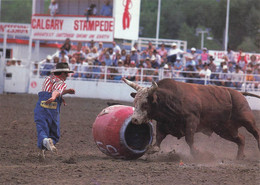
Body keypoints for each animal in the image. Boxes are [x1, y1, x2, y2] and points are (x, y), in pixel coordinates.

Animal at [123, 77, 260, 160]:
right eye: (135, 102)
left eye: (145, 104)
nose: (134, 120)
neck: (172, 99)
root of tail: (239, 93)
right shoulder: (163, 123)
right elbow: (159, 138)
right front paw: (152, 149)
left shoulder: (191, 121)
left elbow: (189, 139)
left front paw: (198, 154)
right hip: (225, 129)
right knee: (241, 138)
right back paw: (239, 157)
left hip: (247, 118)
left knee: (255, 132)